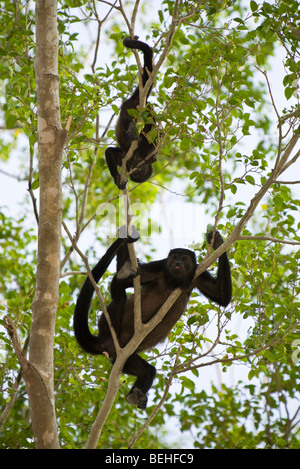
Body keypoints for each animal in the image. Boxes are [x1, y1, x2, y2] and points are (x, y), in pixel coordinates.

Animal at [72, 226, 232, 406]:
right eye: (174, 257)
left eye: (184, 259)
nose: (177, 263)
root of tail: (104, 342)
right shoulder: (159, 267)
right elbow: (129, 281)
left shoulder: (198, 275)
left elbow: (222, 297)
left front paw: (217, 241)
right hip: (109, 332)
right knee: (119, 295)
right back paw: (122, 278)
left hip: (124, 359)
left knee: (149, 371)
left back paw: (134, 396)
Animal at [104, 36, 157, 189]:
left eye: (141, 171)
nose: (137, 168)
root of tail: (135, 99)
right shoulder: (123, 157)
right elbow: (109, 152)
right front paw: (117, 179)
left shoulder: (123, 157)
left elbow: (109, 152)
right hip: (128, 109)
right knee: (127, 120)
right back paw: (131, 129)